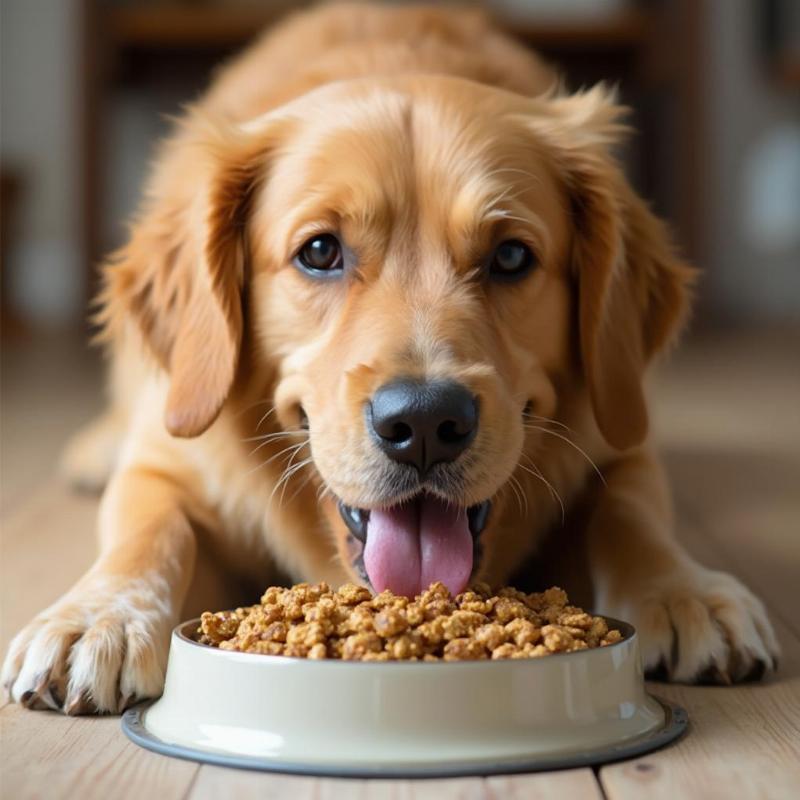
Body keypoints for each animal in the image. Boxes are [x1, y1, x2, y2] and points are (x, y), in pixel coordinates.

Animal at [1, 0, 776, 712]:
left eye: (511, 257)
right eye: (319, 251)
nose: (426, 423)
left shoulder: (622, 445)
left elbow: (631, 513)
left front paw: (684, 589)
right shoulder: (167, 462)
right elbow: (149, 531)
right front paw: (99, 615)